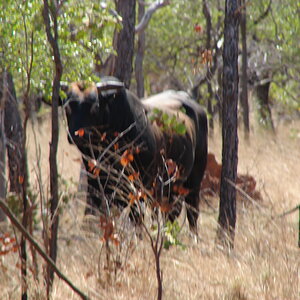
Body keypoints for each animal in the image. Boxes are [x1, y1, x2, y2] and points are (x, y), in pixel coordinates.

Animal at [60, 77, 206, 232]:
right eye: (67, 107)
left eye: (95, 107)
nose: (77, 135)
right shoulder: (96, 180)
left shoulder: (140, 184)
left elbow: (136, 215)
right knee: (168, 212)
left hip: (194, 182)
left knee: (191, 212)